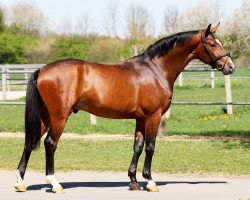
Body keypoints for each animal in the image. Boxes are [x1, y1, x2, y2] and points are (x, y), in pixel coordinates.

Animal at [15, 23, 234, 194]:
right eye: (212, 44)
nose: (229, 66)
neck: (154, 70)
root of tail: (42, 69)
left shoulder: (140, 118)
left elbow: (137, 146)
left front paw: (134, 181)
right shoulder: (153, 116)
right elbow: (150, 146)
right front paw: (150, 181)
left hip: (45, 116)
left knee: (29, 142)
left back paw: (20, 182)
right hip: (59, 116)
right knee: (50, 143)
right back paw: (54, 183)